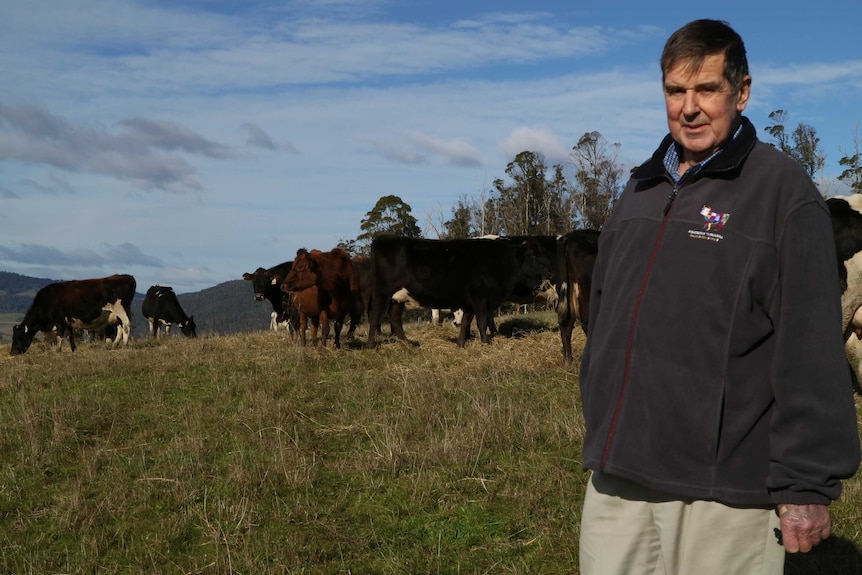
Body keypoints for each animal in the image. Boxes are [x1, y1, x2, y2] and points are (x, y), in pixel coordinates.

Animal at [362, 234, 552, 346]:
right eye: (532, 255)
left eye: (544, 252)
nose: (550, 271)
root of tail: (381, 239)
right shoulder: (480, 298)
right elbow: (482, 322)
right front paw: (485, 343)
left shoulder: (470, 302)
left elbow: (467, 321)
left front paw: (461, 343)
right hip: (382, 292)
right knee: (375, 316)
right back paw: (371, 345)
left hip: (399, 296)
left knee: (394, 317)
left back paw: (408, 343)